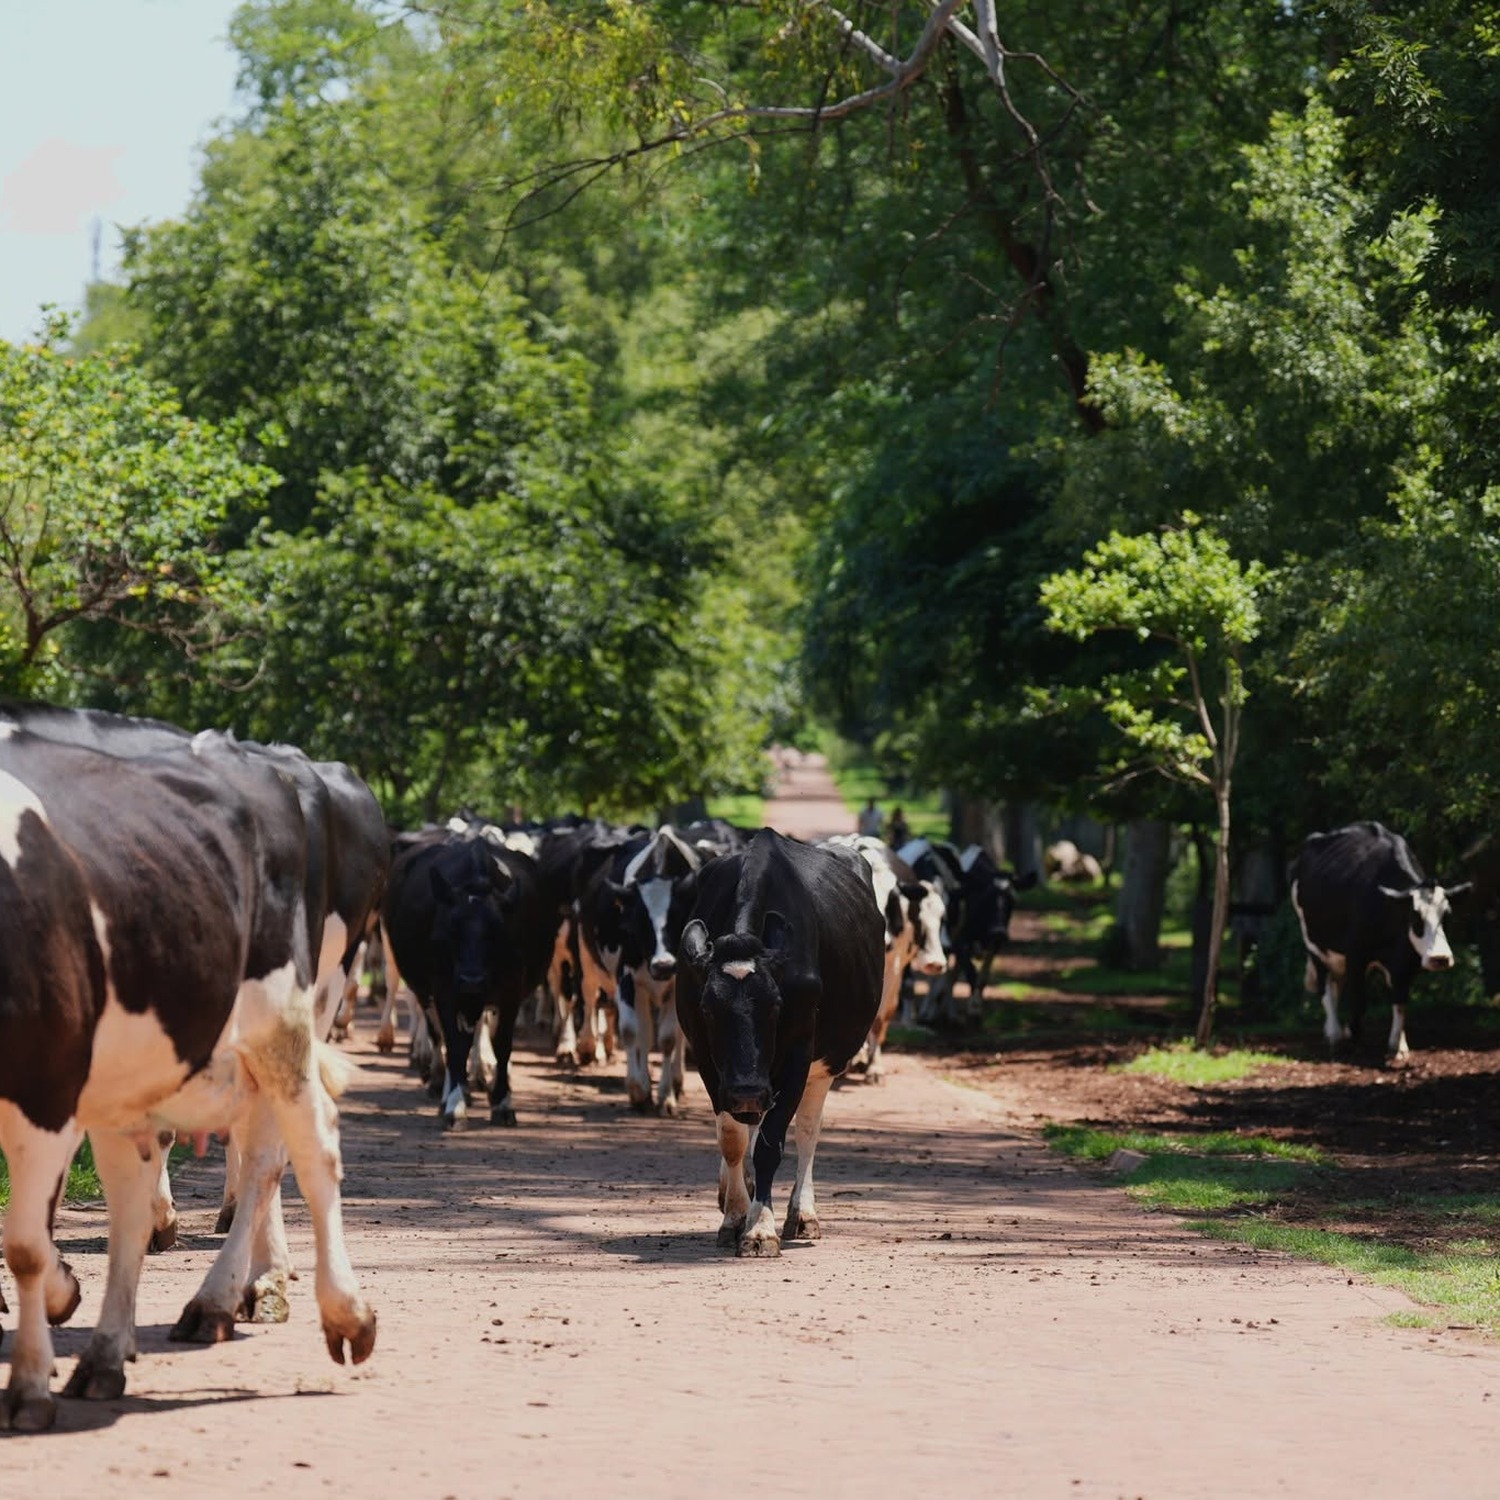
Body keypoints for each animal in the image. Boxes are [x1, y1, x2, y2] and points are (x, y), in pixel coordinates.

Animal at [0, 704, 375, 1429]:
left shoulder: (49, 1074)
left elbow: (27, 1237)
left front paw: (31, 1375)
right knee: (139, 1187)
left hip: (288, 1014)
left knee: (285, 1149)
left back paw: (256, 1300)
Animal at [381, 833, 552, 1129]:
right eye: (452, 925)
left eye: (497, 928)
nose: (471, 979)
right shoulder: (445, 991)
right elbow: (455, 1045)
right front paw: (455, 1104)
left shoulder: (510, 992)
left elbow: (502, 1046)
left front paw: (502, 1102)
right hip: (427, 992)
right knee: (439, 1035)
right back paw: (442, 1084)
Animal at [676, 829, 884, 1257]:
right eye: (707, 1008)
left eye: (775, 1004)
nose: (746, 1091)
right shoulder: (708, 1060)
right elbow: (733, 1140)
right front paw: (735, 1217)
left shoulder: (797, 1056)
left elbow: (771, 1145)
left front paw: (760, 1229)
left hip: (822, 1064)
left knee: (807, 1131)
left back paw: (801, 1214)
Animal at [897, 838, 1036, 1024]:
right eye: (985, 897)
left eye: (1012, 900)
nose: (999, 931)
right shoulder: (960, 942)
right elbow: (969, 972)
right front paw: (907, 1021)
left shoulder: (992, 944)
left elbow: (979, 976)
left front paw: (974, 1009)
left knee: (944, 976)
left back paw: (942, 1012)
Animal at [1290, 821, 1468, 1061]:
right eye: (1415, 917)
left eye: (1447, 915)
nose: (1440, 958)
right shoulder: (1356, 953)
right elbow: (1359, 999)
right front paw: (1354, 1039)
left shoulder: (1407, 960)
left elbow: (1400, 1000)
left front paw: (1397, 1045)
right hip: (1315, 945)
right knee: (1325, 988)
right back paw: (1334, 1034)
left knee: (1336, 985)